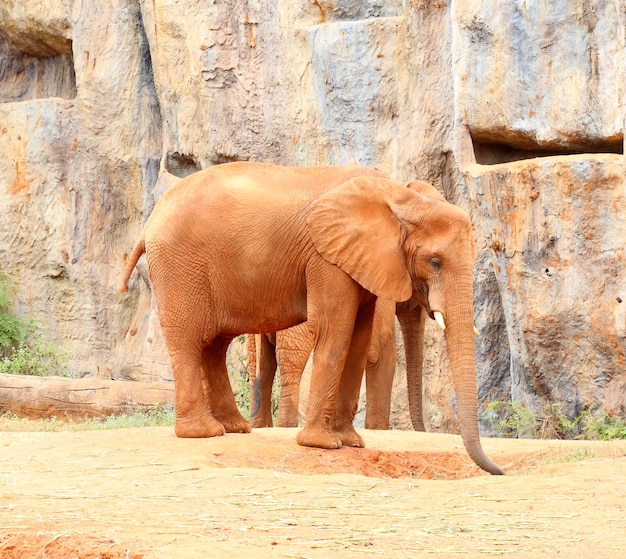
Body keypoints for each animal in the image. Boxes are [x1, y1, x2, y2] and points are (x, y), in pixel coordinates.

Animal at [119, 162, 504, 476]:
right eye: (435, 262)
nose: (497, 470)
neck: (400, 197)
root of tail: (150, 219)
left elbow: (359, 338)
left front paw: (351, 442)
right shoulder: (327, 258)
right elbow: (338, 331)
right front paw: (323, 444)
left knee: (215, 344)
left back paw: (235, 428)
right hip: (179, 265)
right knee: (189, 340)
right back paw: (203, 433)